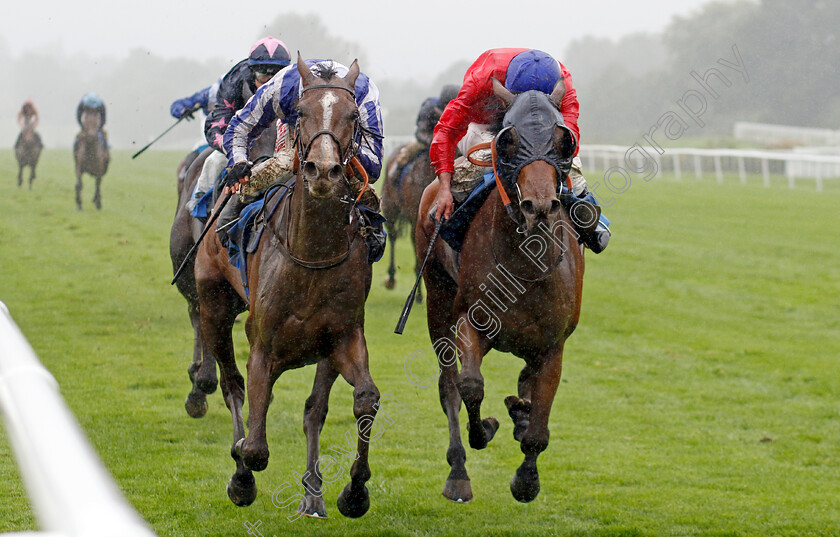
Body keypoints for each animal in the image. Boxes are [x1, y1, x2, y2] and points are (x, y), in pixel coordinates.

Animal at [194, 56, 380, 516]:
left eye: (353, 116)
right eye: (300, 112)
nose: (324, 170)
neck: (312, 255)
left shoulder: (342, 337)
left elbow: (362, 399)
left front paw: (354, 490)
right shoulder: (263, 344)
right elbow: (255, 447)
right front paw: (242, 476)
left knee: (314, 409)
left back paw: (313, 493)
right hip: (214, 308)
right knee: (232, 385)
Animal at [416, 78, 588, 502]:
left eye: (564, 141)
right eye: (508, 140)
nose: (538, 205)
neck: (525, 266)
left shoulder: (552, 344)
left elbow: (539, 429)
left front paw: (527, 479)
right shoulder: (470, 321)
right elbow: (470, 387)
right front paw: (486, 429)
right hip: (437, 300)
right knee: (448, 386)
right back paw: (458, 472)